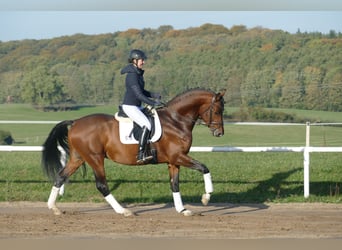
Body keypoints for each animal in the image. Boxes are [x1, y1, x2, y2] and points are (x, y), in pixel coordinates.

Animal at [41, 89, 226, 216]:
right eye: (217, 111)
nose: (219, 133)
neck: (176, 120)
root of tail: (75, 122)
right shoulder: (178, 157)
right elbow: (204, 168)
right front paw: (206, 196)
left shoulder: (173, 161)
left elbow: (175, 184)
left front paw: (182, 210)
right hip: (95, 158)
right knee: (102, 185)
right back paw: (123, 211)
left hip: (78, 158)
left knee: (60, 176)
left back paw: (54, 208)